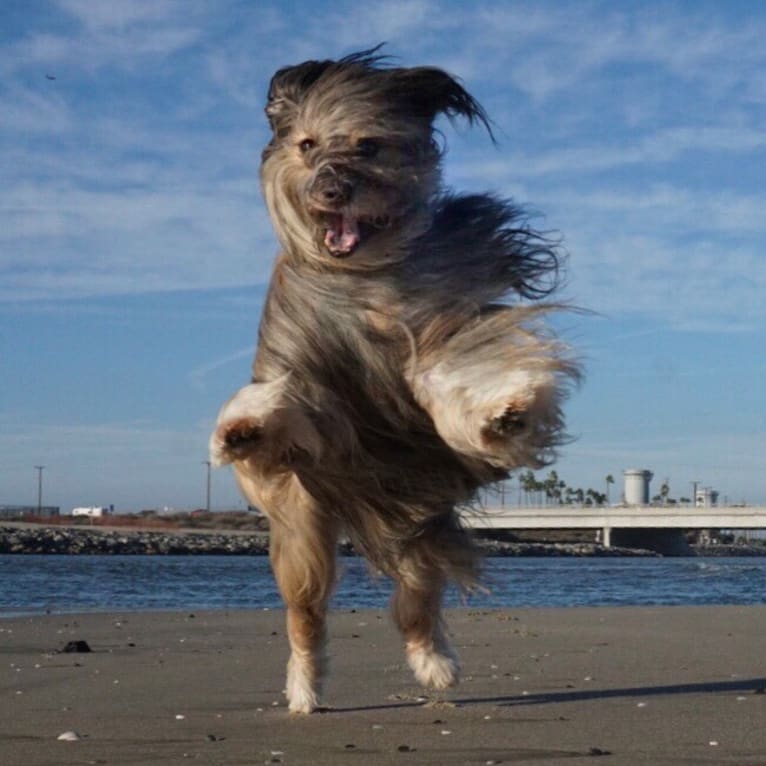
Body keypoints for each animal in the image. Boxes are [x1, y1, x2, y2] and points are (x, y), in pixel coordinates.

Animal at [207, 49, 580, 712]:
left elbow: (455, 376)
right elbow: (286, 409)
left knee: (415, 603)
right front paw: (242, 428)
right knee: (306, 614)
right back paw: (304, 689)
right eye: (306, 145)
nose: (331, 189)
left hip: (417, 517)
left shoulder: (439, 325)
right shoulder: (305, 384)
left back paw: (434, 663)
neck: (364, 278)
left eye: (369, 145)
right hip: (306, 528)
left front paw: (505, 415)